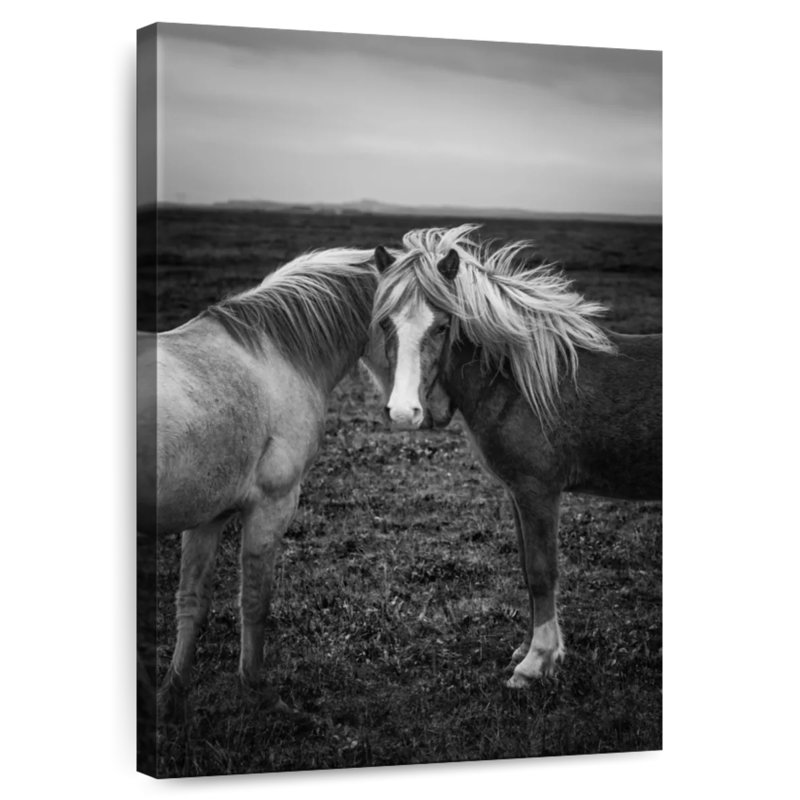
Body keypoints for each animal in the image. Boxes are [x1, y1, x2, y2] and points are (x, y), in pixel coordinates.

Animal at [137, 247, 390, 721]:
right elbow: (256, 599)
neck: (282, 357)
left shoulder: (207, 516)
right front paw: (258, 689)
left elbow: (191, 602)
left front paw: (171, 695)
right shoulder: (273, 505)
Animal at [372, 224, 661, 689]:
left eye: (442, 326)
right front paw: (529, 650)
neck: (520, 382)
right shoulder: (516, 494)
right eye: (385, 323)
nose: (402, 413)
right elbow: (527, 570)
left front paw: (536, 662)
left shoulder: (537, 491)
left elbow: (543, 572)